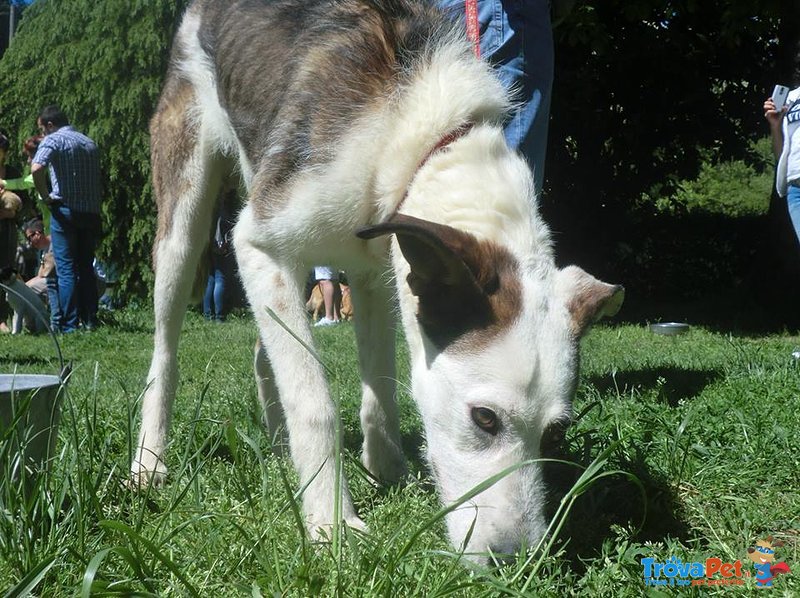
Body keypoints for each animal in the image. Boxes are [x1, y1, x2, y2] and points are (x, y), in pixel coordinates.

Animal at [134, 0, 624, 564]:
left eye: (555, 433)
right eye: (484, 418)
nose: (514, 558)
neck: (429, 142)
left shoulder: (375, 273)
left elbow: (380, 389)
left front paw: (385, 470)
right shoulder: (257, 244)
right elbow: (316, 404)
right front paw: (331, 520)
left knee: (264, 350)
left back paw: (279, 449)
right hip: (187, 215)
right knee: (166, 351)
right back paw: (149, 460)